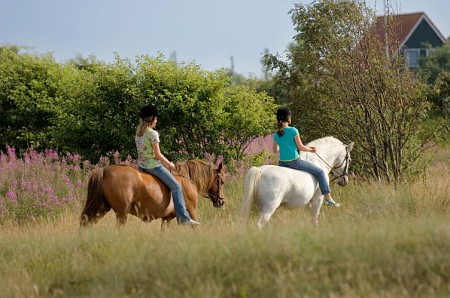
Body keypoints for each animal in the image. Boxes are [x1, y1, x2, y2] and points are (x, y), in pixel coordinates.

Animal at [79, 161, 225, 228]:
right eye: (222, 181)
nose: (221, 201)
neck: (187, 180)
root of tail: (104, 170)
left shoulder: (166, 219)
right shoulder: (191, 212)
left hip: (101, 208)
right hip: (121, 213)